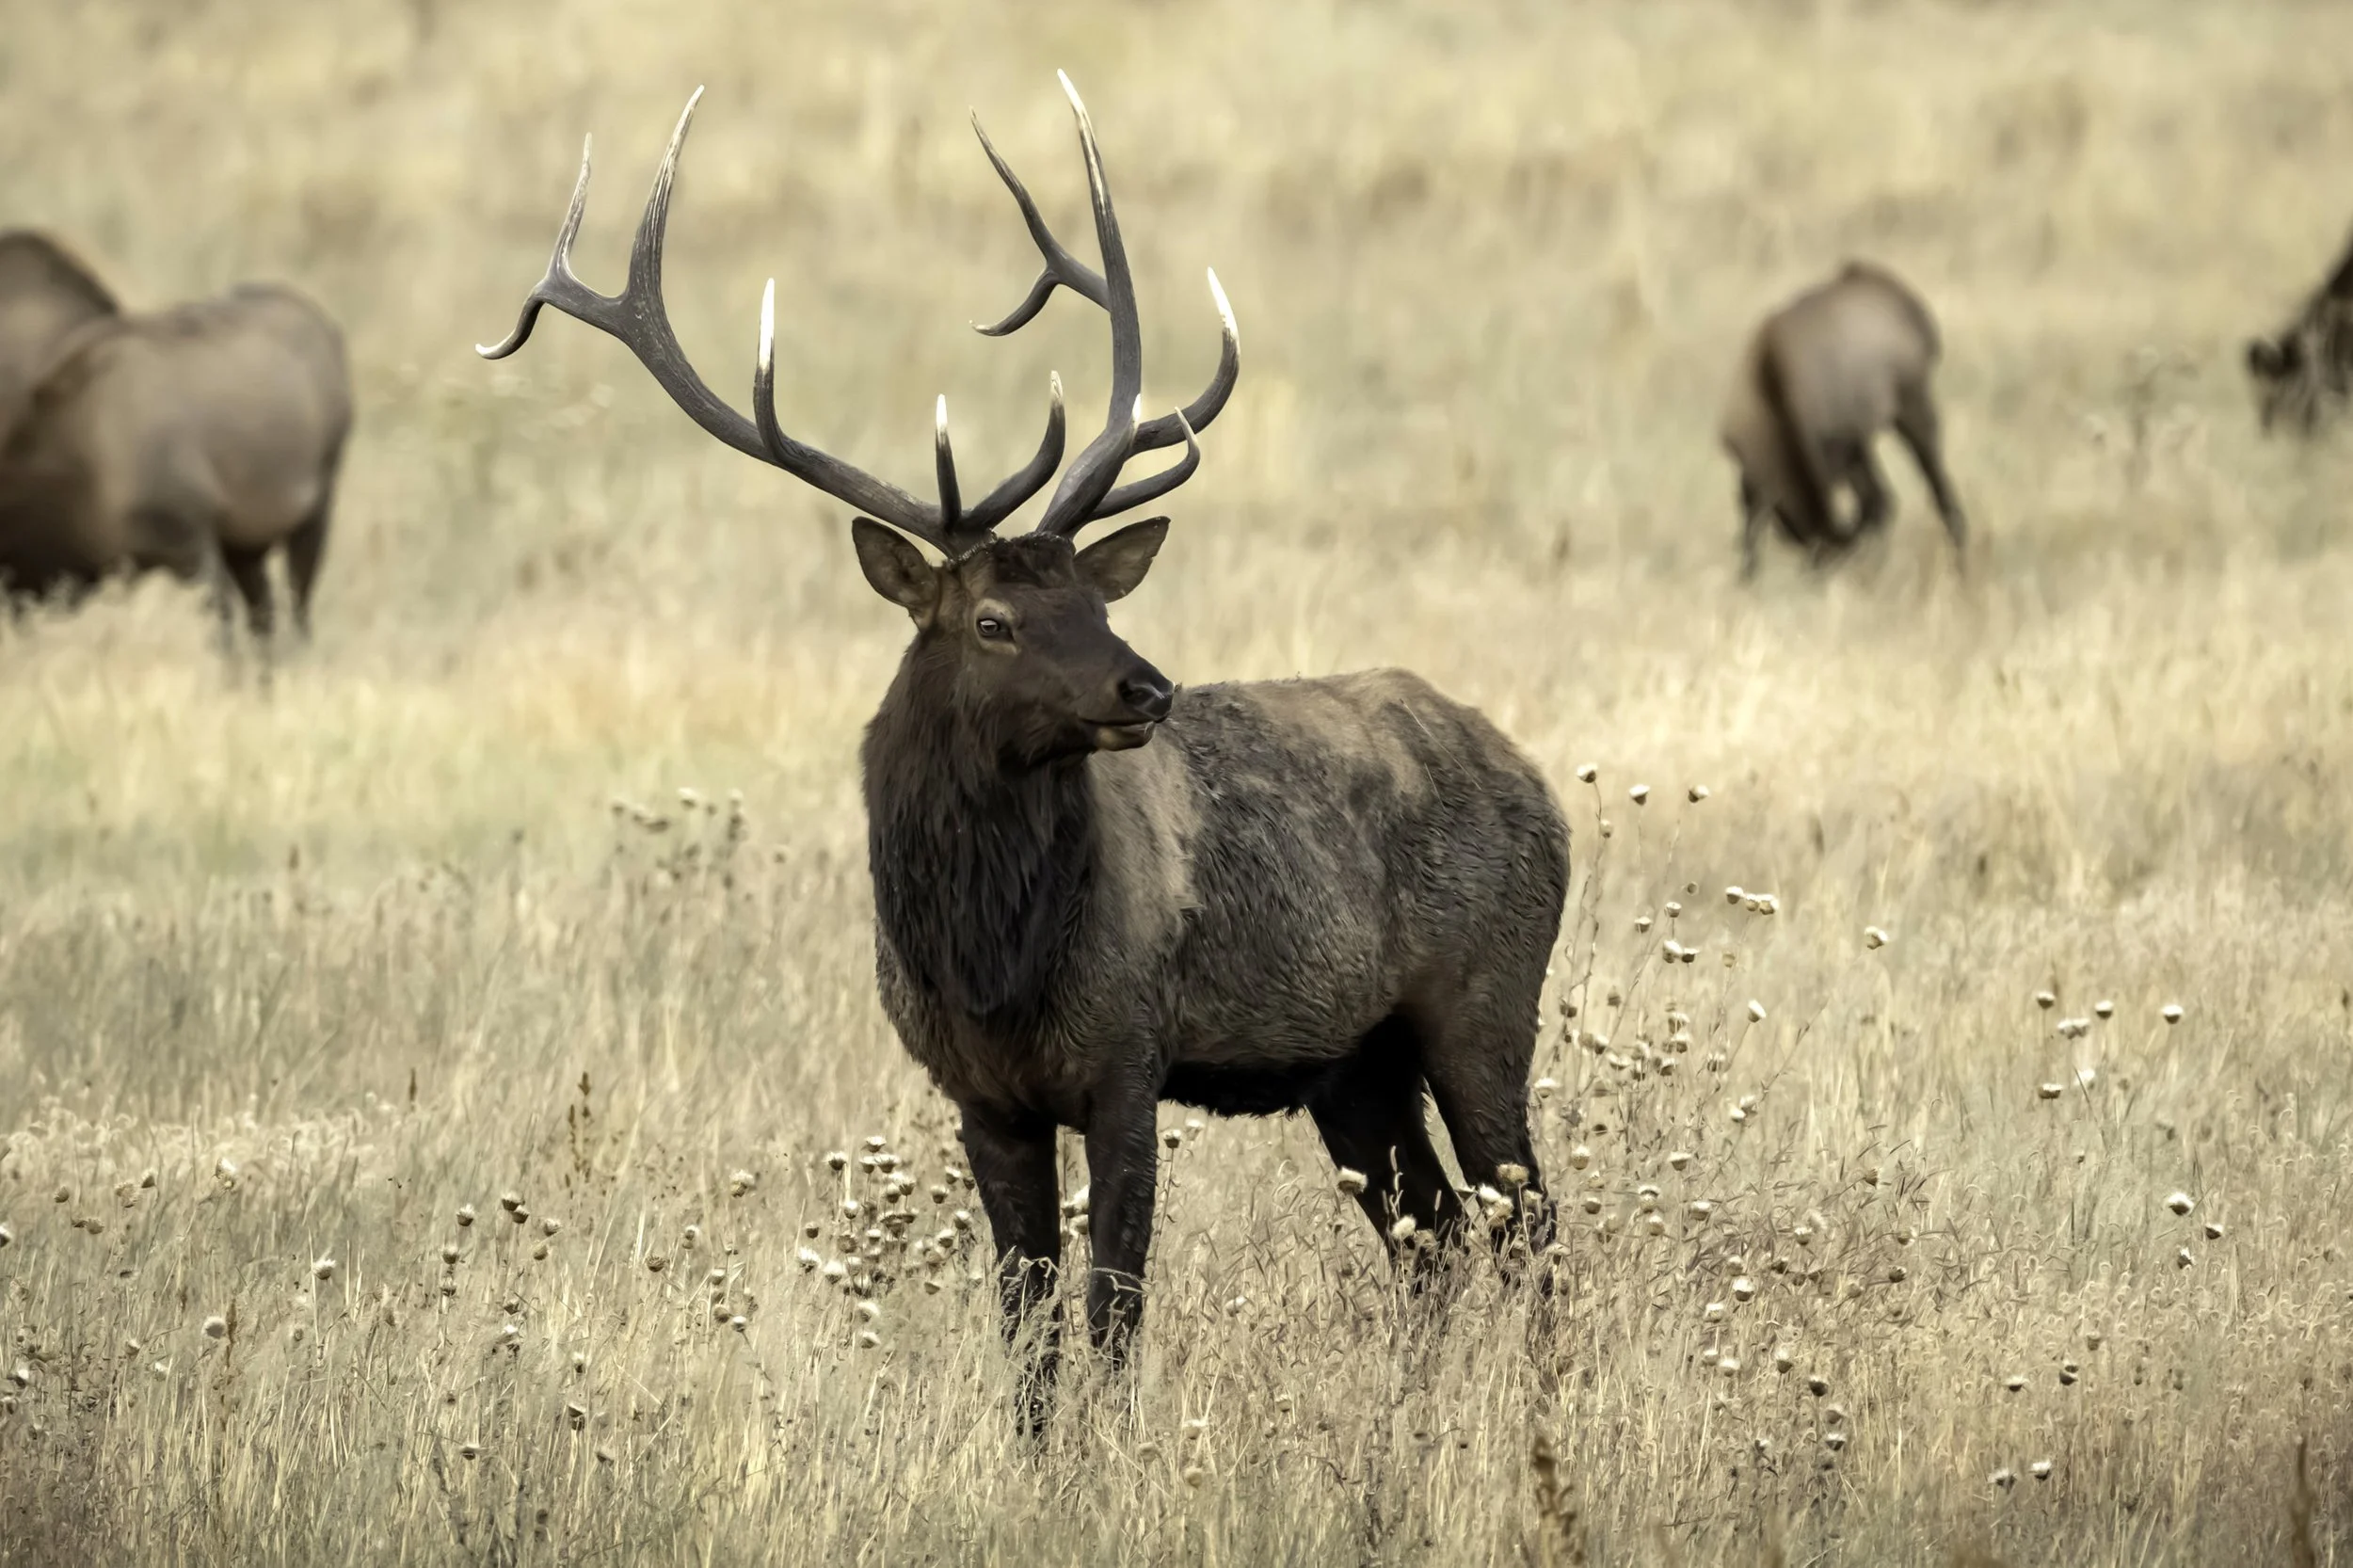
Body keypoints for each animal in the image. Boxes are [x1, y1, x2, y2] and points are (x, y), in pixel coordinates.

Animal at [481, 77, 1568, 1426]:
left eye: (1095, 599)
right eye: (992, 620)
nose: (1146, 686)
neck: (989, 964)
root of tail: (1542, 788)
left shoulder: (1125, 1059)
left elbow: (1113, 1307)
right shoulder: (979, 1096)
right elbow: (1027, 1317)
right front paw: (1039, 1447)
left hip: (1486, 999)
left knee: (1526, 1224)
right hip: (1351, 1061)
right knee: (1432, 1232)